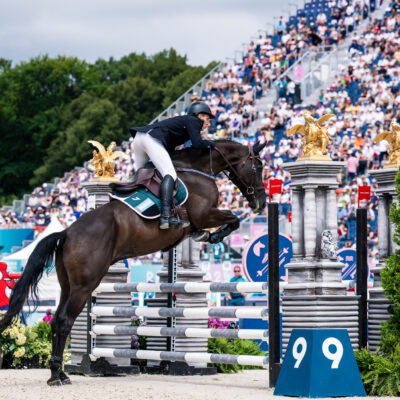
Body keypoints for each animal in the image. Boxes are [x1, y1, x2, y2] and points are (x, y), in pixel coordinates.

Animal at [0, 139, 268, 386]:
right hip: (84, 286)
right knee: (64, 321)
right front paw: (212, 236)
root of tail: (66, 233)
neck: (198, 169)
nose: (262, 202)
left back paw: (60, 373)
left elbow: (230, 220)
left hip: (67, 285)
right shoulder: (204, 214)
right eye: (258, 166)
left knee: (56, 321)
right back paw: (58, 376)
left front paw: (208, 236)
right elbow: (233, 219)